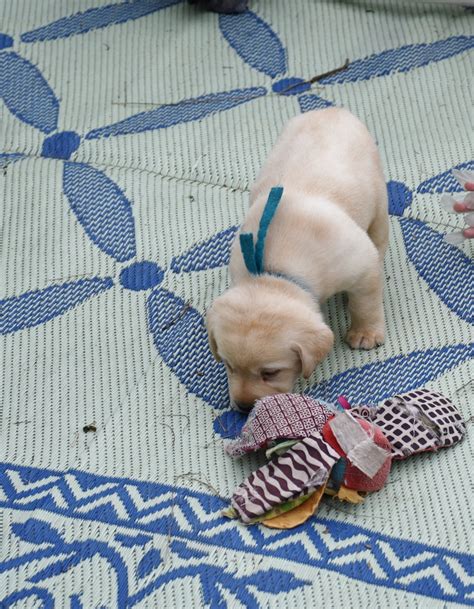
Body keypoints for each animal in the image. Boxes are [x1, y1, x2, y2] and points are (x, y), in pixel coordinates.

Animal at [207, 108, 388, 414]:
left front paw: (365, 332)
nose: (243, 408)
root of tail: (333, 110)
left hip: (378, 194)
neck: (274, 273)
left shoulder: (360, 265)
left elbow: (365, 303)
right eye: (229, 366)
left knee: (379, 231)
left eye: (270, 372)